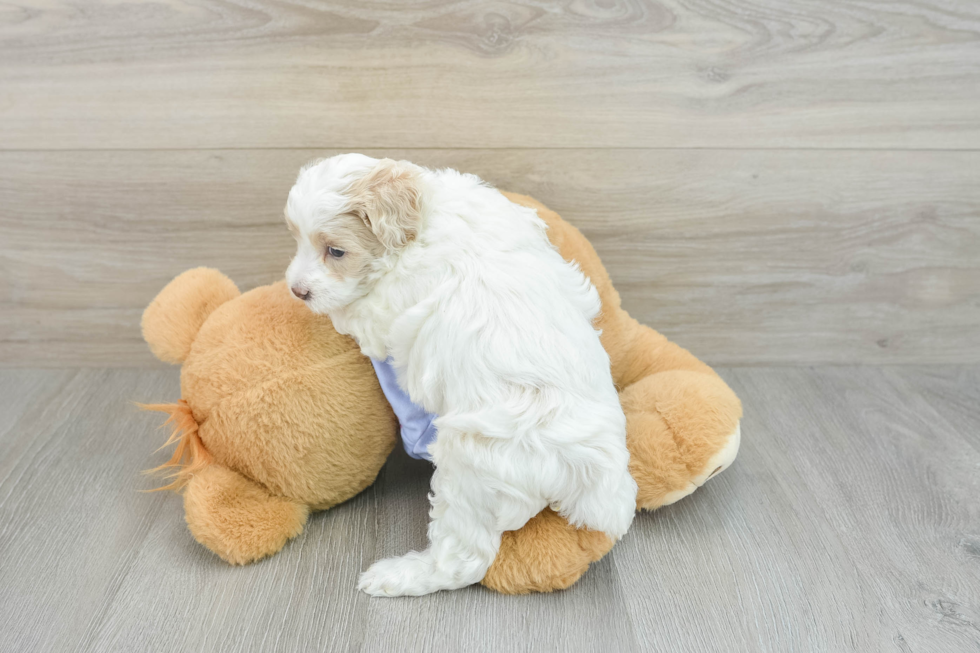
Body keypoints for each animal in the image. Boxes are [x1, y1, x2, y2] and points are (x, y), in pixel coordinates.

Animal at [286, 154, 636, 596]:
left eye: (335, 251)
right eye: (296, 239)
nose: (296, 290)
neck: (425, 219)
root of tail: (596, 478)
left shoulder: (384, 305)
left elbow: (353, 310)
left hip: (471, 469)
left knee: (462, 561)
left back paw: (398, 575)